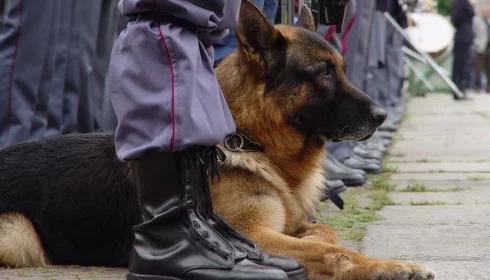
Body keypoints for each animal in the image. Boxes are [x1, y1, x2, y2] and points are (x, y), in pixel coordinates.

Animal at [0, 2, 434, 280]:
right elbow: (330, 247)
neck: (250, 140)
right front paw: (394, 267)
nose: (381, 116)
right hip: (19, 234)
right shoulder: (255, 236)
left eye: (342, 68)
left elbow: (324, 232)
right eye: (323, 73)